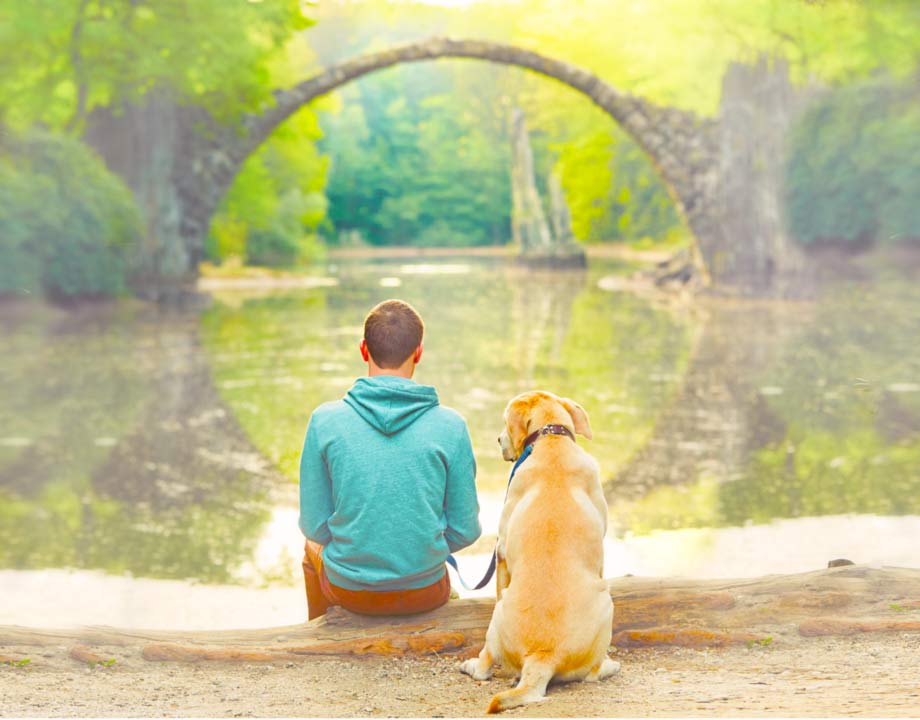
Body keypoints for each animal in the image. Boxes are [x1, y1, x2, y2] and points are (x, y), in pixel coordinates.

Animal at [460, 390, 620, 712]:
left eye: (504, 422)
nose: (497, 440)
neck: (551, 439)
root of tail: (542, 656)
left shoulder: (500, 553)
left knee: (485, 665)